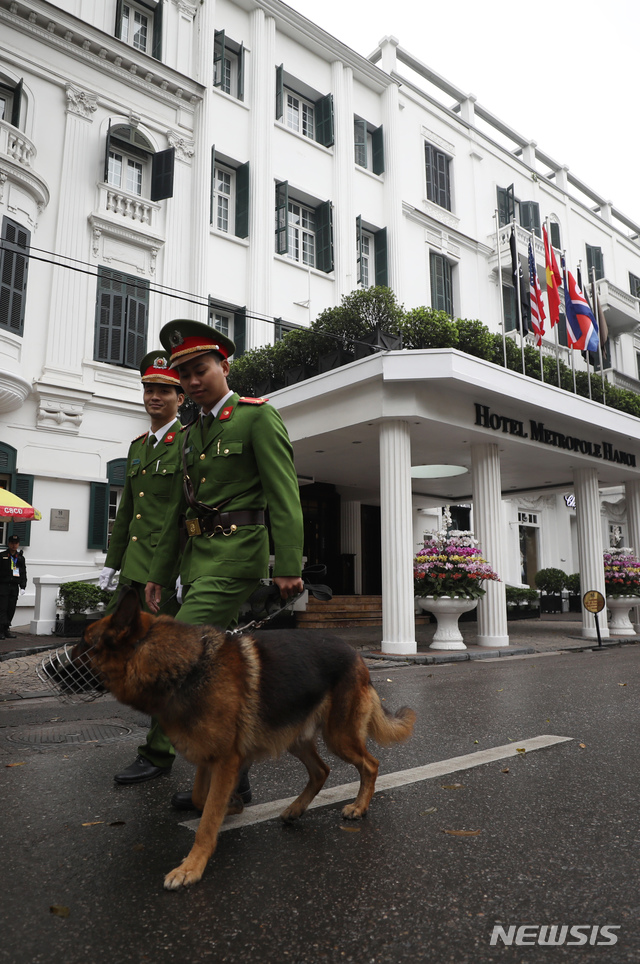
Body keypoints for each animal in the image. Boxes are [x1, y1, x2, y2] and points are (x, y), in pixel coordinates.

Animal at [56, 588, 416, 888]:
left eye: (84, 643)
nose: (50, 669)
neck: (182, 664)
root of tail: (356, 655)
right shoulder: (208, 757)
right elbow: (201, 800)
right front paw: (233, 804)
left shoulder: (226, 760)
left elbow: (205, 822)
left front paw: (191, 866)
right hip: (296, 739)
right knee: (321, 771)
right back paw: (295, 810)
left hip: (338, 735)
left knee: (370, 764)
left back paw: (358, 806)